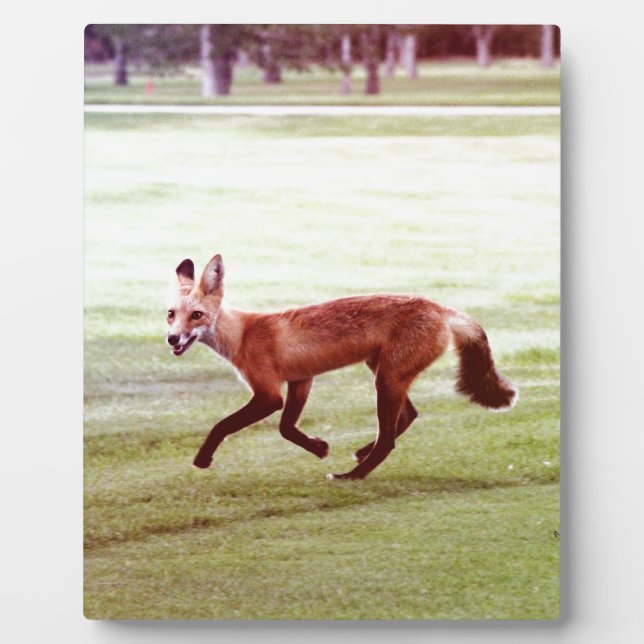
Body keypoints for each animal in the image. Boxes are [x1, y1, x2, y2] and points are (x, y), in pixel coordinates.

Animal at [166, 253, 517, 480]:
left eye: (196, 315)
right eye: (171, 314)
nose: (172, 339)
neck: (242, 334)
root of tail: (440, 308)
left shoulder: (268, 394)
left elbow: (222, 425)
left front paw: (202, 458)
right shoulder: (301, 380)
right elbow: (286, 428)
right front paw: (318, 447)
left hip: (386, 380)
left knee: (389, 439)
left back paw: (353, 475)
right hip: (385, 373)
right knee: (408, 416)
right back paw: (362, 453)